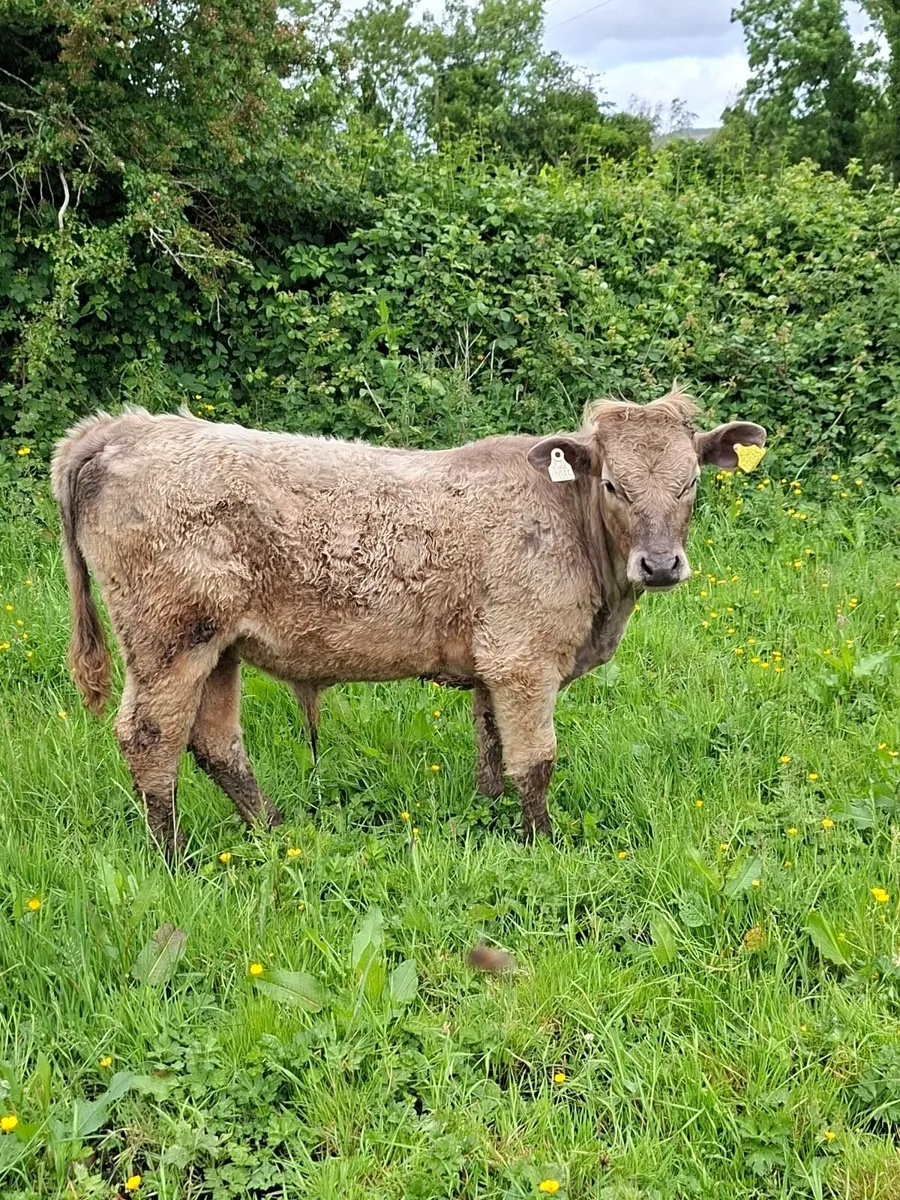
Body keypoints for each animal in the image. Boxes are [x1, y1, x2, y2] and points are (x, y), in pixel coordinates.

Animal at [52, 388, 765, 858]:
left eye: (691, 481)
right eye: (614, 484)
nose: (661, 563)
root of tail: (121, 429)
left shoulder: (494, 661)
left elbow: (491, 746)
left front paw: (490, 815)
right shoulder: (524, 657)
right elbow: (535, 761)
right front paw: (543, 845)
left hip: (218, 645)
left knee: (216, 743)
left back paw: (274, 831)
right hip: (169, 637)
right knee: (150, 739)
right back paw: (174, 857)